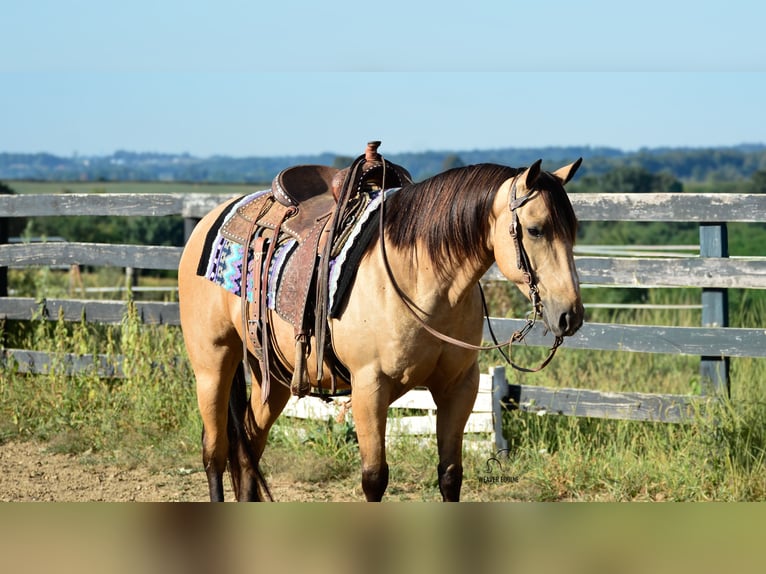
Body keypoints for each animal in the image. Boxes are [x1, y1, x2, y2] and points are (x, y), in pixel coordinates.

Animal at [177, 157, 584, 501]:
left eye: (573, 230)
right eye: (535, 229)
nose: (571, 316)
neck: (420, 279)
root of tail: (211, 219)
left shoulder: (459, 386)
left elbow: (450, 475)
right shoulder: (369, 386)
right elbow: (374, 479)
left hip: (272, 376)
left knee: (248, 443)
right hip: (213, 364)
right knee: (214, 451)